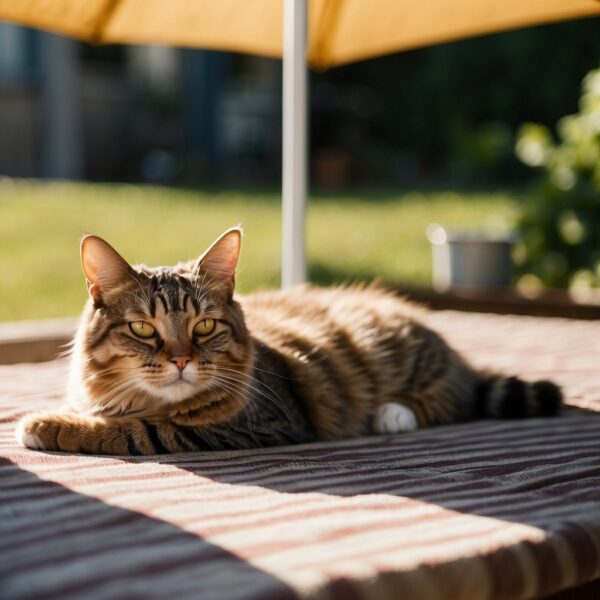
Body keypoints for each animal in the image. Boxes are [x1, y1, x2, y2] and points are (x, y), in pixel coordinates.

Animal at [18, 229, 564, 454]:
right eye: (144, 330)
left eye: (203, 328)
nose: (181, 361)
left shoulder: (259, 424)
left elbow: (142, 430)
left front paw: (50, 425)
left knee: (452, 397)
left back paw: (394, 413)